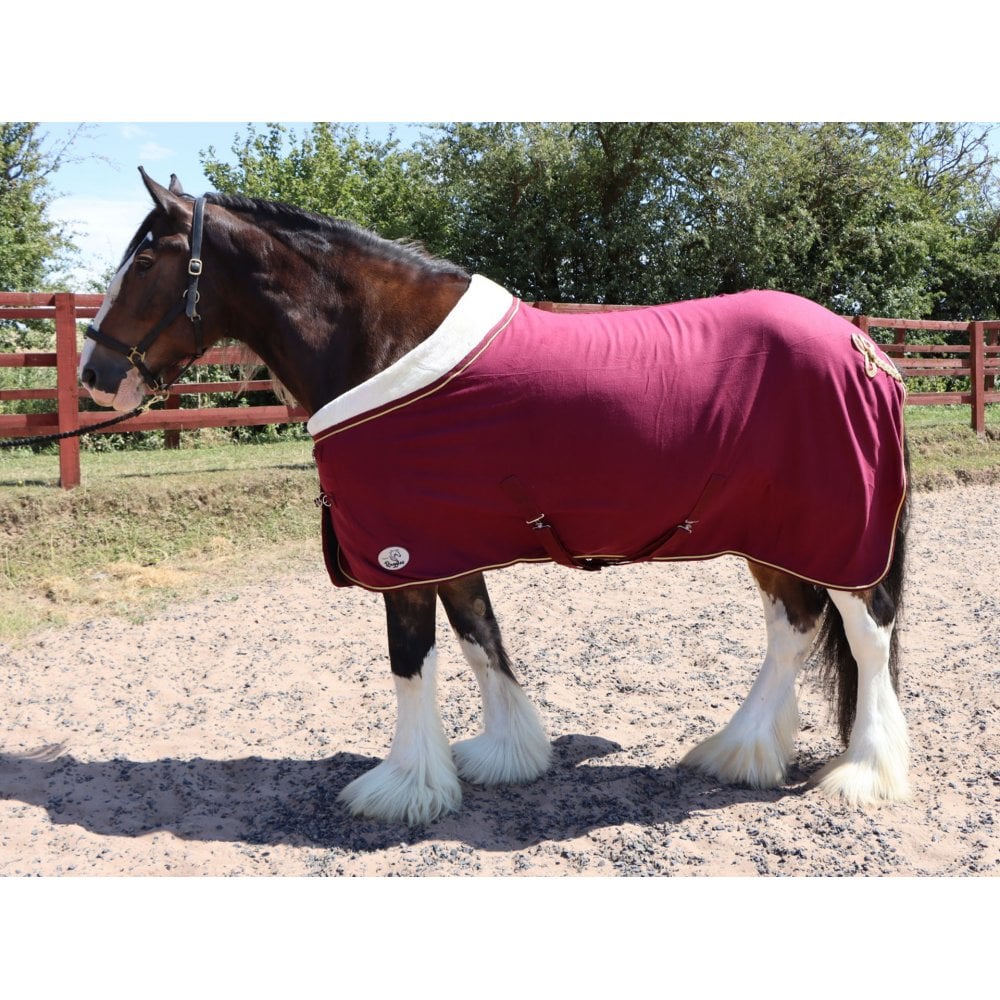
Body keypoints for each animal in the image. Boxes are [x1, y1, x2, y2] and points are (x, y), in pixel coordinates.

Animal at [78, 168, 912, 825]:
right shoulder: (445, 549)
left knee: (866, 636)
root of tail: (866, 351)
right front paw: (505, 753)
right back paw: (739, 751)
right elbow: (482, 640)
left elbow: (411, 661)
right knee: (792, 629)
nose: (93, 377)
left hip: (839, 536)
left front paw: (405, 788)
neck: (387, 342)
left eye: (145, 259)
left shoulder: (403, 553)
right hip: (775, 535)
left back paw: (864, 773)